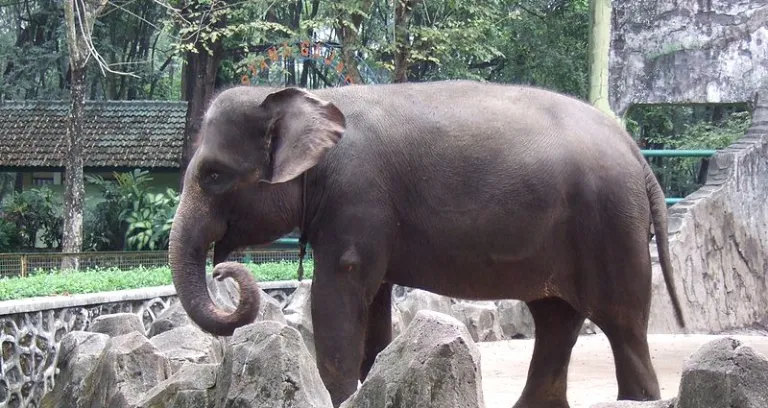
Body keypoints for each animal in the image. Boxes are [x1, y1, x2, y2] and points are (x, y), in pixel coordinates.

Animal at [168, 79, 684, 408]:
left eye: (214, 176)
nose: (223, 271)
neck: (319, 99)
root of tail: (637, 153)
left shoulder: (357, 197)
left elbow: (339, 293)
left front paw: (342, 397)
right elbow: (373, 306)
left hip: (610, 227)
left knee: (621, 324)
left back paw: (640, 396)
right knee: (556, 319)